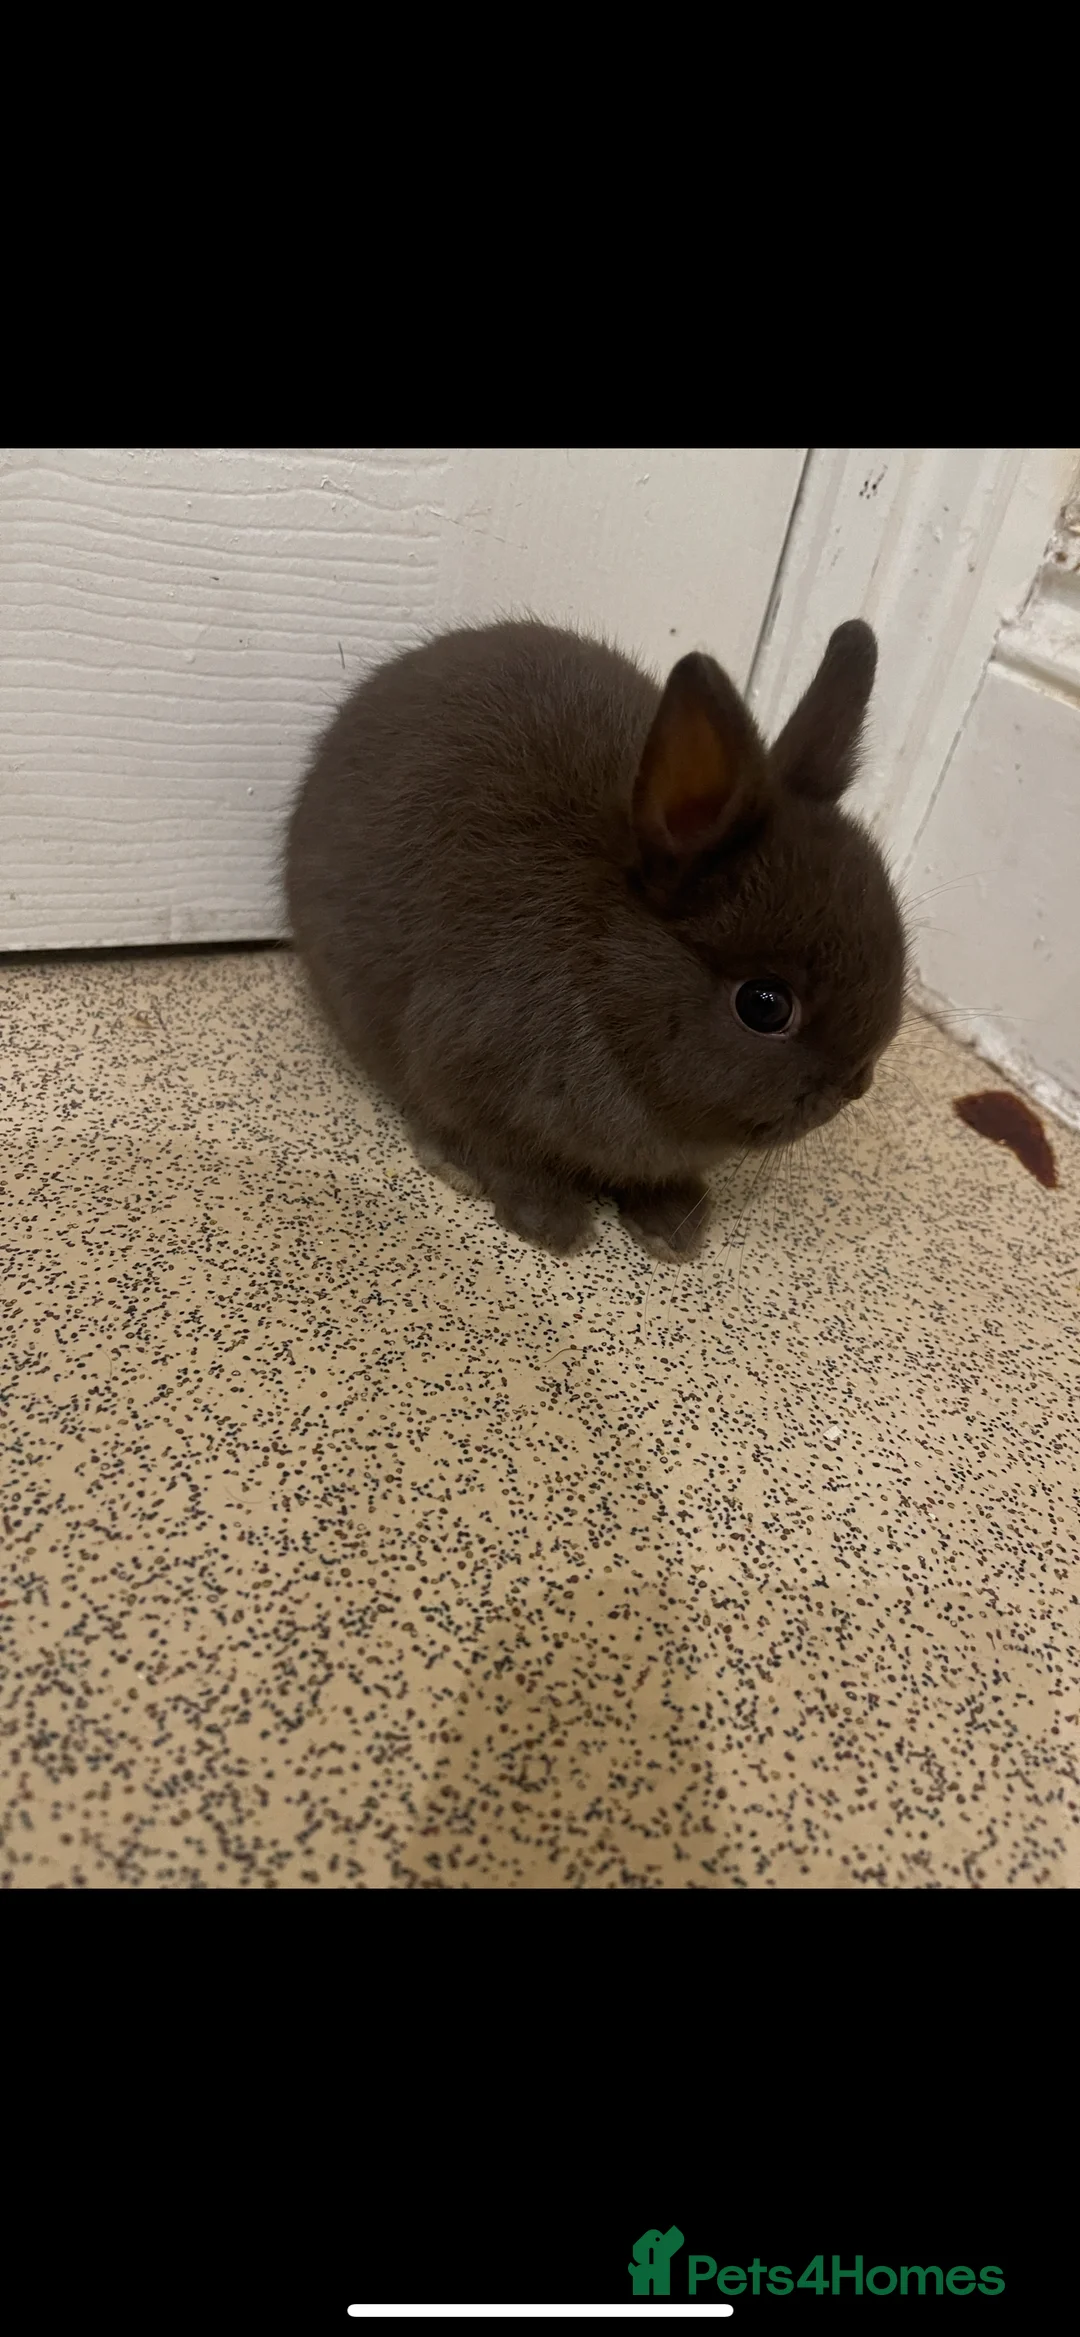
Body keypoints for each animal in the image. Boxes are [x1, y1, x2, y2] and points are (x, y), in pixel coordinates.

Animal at [286, 616, 907, 1259]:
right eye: (765, 1005)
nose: (854, 1086)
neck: (605, 976)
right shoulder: (461, 1070)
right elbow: (505, 1155)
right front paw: (551, 1223)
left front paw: (674, 1230)